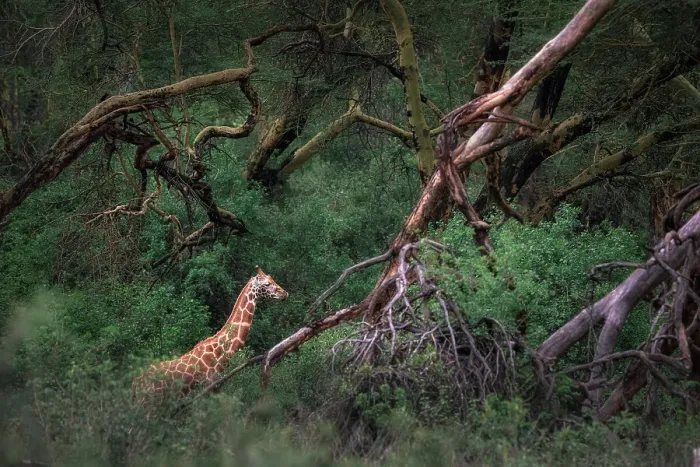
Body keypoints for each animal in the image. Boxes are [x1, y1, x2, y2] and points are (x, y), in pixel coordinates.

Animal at [133, 266, 288, 403]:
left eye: (272, 278)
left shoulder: (215, 388)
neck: (219, 355)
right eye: (267, 283)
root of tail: (135, 385)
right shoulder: (206, 390)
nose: (285, 293)